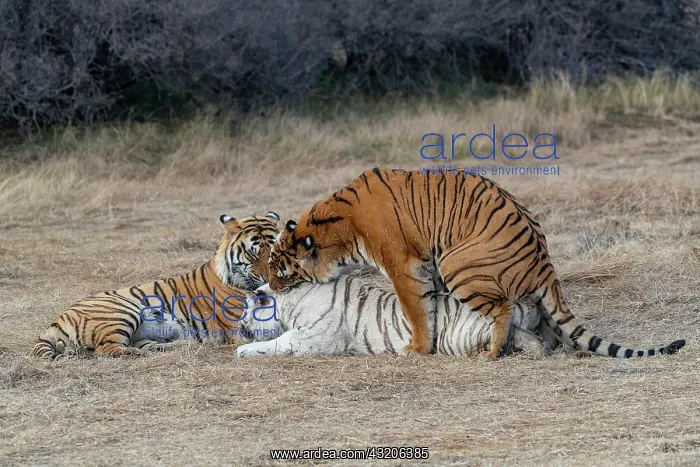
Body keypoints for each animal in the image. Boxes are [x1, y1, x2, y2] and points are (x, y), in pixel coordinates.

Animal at [31, 212, 280, 359]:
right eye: (252, 253)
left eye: (274, 250)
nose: (270, 280)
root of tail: (56, 320)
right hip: (123, 310)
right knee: (106, 349)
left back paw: (184, 345)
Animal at [235, 273, 558, 358]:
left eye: (247, 310)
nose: (241, 329)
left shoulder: (312, 338)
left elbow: (278, 343)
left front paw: (244, 351)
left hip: (457, 336)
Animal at [267, 168, 686, 360]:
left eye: (279, 268)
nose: (265, 285)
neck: (339, 230)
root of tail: (545, 262)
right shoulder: (427, 267)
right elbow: (431, 307)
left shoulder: (404, 266)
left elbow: (415, 309)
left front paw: (417, 349)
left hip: (459, 264)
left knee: (502, 308)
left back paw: (492, 353)